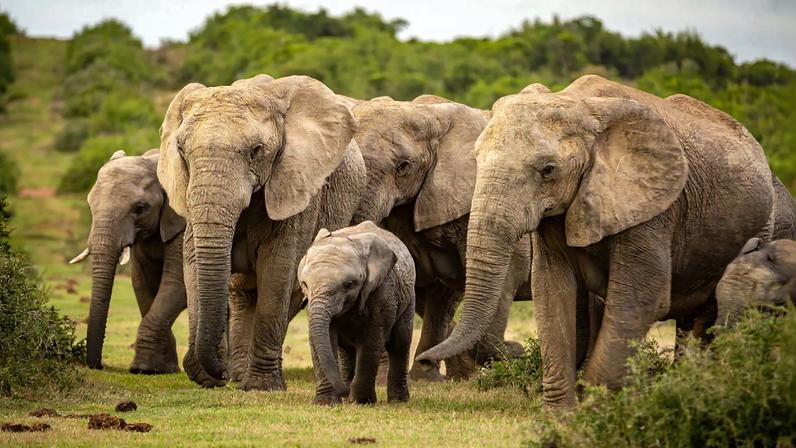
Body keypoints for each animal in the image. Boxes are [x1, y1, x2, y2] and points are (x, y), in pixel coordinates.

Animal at [70, 148, 186, 373]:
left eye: (140, 208)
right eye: (90, 206)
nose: (98, 366)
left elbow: (179, 282)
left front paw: (144, 368)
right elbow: (143, 284)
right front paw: (161, 369)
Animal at [157, 74, 366, 390]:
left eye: (255, 151)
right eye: (181, 149)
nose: (220, 373)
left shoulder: (297, 187)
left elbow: (277, 269)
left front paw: (262, 386)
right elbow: (192, 261)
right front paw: (208, 377)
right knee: (242, 293)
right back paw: (240, 376)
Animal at [298, 221, 415, 405]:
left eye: (349, 284)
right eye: (305, 284)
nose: (345, 393)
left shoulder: (382, 292)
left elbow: (371, 341)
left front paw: (362, 401)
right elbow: (323, 339)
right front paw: (326, 403)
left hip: (408, 298)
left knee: (400, 342)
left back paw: (398, 401)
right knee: (346, 350)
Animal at [418, 74, 778, 407]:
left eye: (548, 170)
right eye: (477, 158)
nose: (424, 359)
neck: (579, 104)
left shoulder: (651, 208)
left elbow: (640, 299)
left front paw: (595, 409)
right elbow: (553, 291)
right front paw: (561, 419)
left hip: (758, 228)